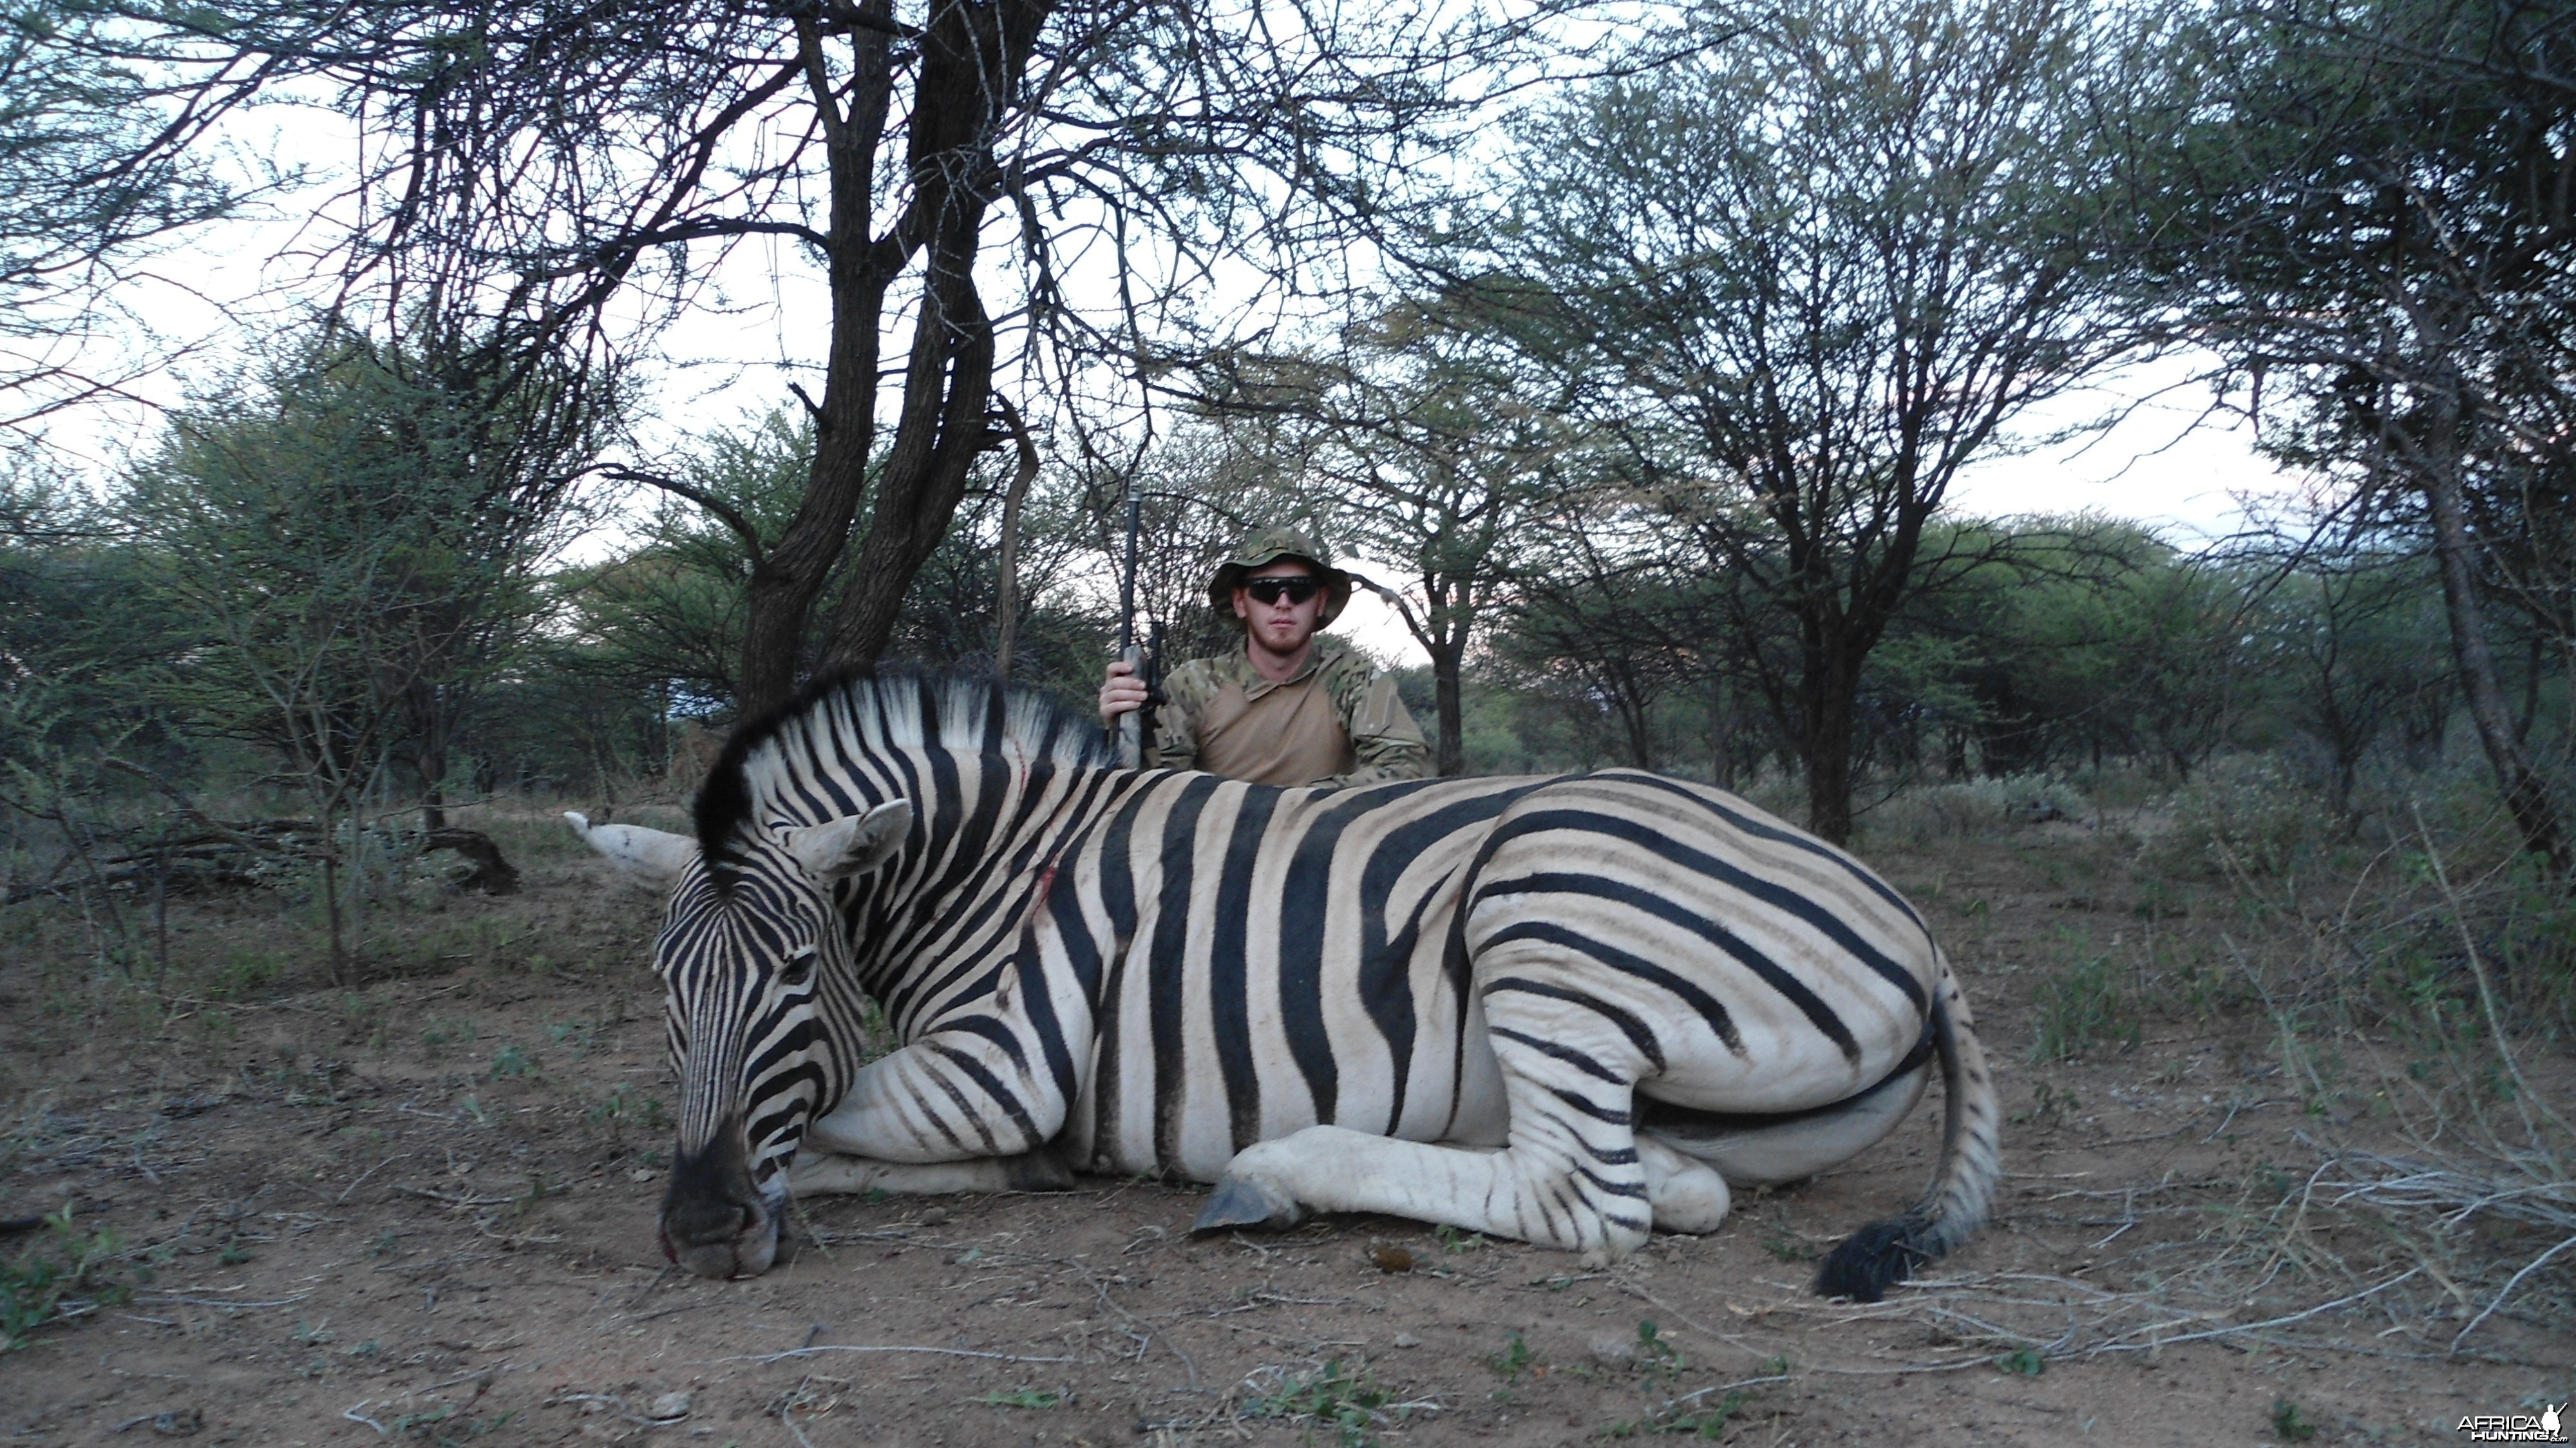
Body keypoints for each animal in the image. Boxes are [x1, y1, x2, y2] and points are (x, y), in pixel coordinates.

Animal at [574, 670, 1999, 1299]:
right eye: (662, 988)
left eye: (793, 972)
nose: (699, 1230)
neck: (992, 858)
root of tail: (1919, 932)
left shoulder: (996, 1069)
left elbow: (821, 1124)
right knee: (1681, 1184)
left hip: (1548, 908)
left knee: (1584, 1200)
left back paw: (1271, 1175)